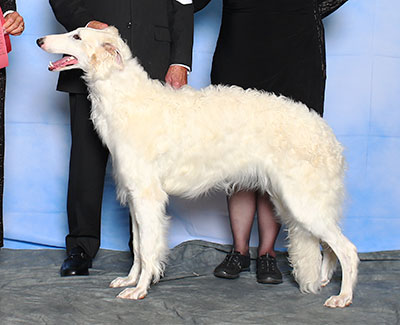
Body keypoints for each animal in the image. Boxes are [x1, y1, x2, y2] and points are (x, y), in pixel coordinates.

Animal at [37, 26, 360, 306]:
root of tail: (327, 135)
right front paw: (129, 280)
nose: (40, 40)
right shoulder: (134, 196)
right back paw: (323, 282)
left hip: (303, 202)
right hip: (295, 201)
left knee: (348, 250)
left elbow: (148, 249)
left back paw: (342, 297)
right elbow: (139, 248)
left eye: (77, 36)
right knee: (331, 249)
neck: (128, 98)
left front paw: (140, 289)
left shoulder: (147, 197)